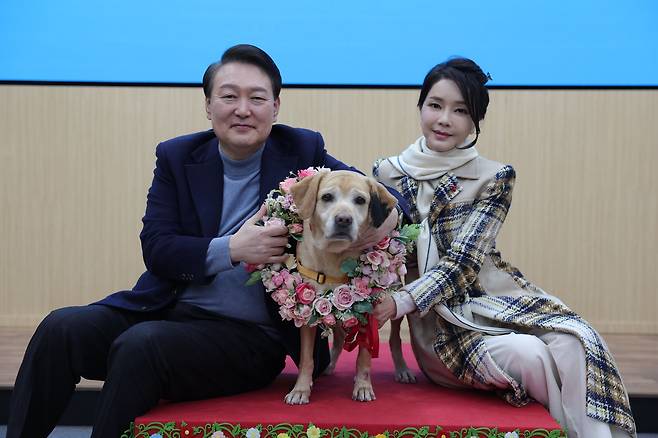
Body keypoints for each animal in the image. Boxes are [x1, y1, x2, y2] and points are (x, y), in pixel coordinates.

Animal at [284, 170, 398, 404]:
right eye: (327, 197)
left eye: (360, 200)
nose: (344, 219)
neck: (335, 257)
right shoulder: (307, 312)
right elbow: (306, 358)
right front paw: (301, 389)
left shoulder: (367, 314)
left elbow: (364, 357)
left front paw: (363, 386)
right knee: (337, 340)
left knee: (395, 340)